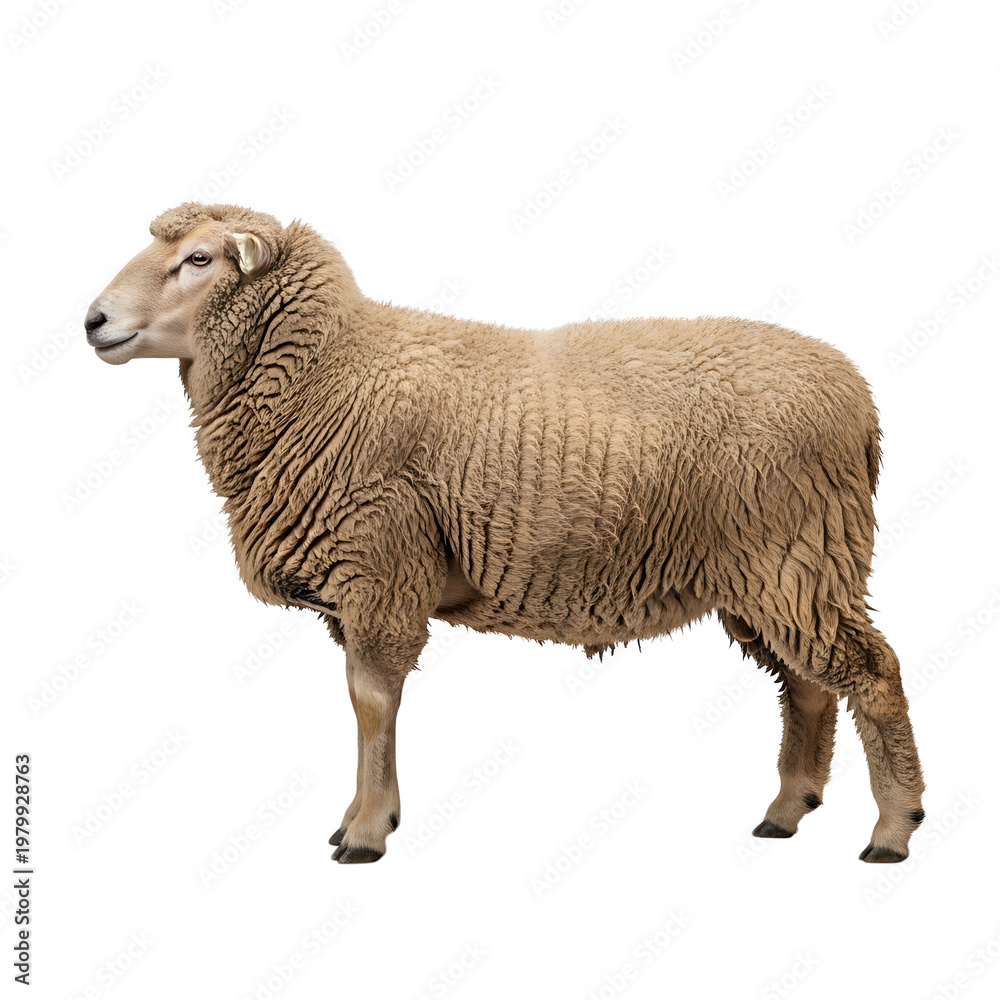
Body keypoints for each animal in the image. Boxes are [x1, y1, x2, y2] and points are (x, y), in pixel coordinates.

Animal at [85, 202, 925, 864]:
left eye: (199, 259)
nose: (94, 320)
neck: (329, 372)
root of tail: (860, 399)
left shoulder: (381, 568)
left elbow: (370, 701)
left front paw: (365, 831)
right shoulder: (362, 583)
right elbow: (364, 702)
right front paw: (367, 816)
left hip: (795, 553)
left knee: (872, 674)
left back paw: (893, 828)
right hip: (771, 570)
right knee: (809, 685)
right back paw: (786, 812)